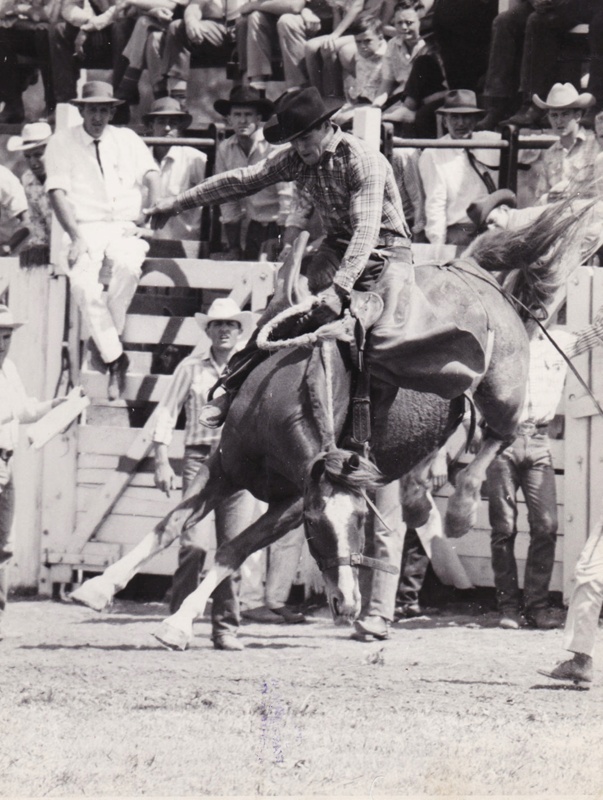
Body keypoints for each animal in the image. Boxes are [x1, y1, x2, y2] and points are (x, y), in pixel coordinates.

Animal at [71, 203, 596, 648]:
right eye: (318, 523)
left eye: (361, 521)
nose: (346, 602)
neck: (275, 414)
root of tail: (471, 271)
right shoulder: (225, 467)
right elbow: (171, 524)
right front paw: (97, 588)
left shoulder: (287, 501)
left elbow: (232, 550)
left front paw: (176, 625)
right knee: (462, 438)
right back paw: (423, 488)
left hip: (502, 389)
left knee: (500, 434)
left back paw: (461, 509)